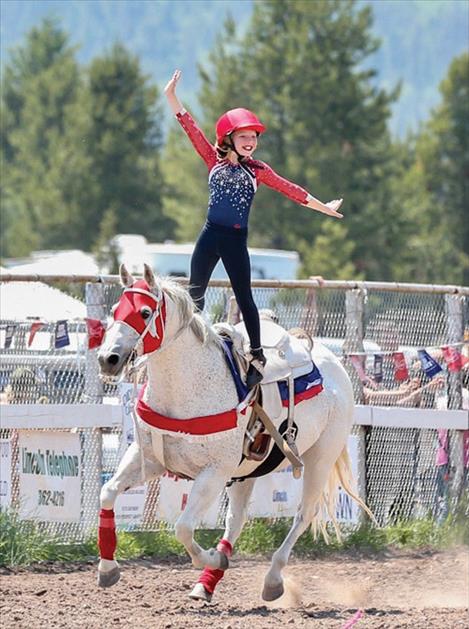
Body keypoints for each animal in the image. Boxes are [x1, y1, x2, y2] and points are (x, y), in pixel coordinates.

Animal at [95, 262, 366, 600]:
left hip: (319, 459)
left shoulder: (214, 472)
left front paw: (210, 557)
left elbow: (183, 527)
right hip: (246, 472)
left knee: (303, 515)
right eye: (115, 310)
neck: (184, 387)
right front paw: (108, 568)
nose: (108, 358)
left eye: (145, 312)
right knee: (236, 520)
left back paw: (271, 579)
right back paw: (207, 583)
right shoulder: (148, 458)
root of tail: (334, 363)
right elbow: (107, 493)